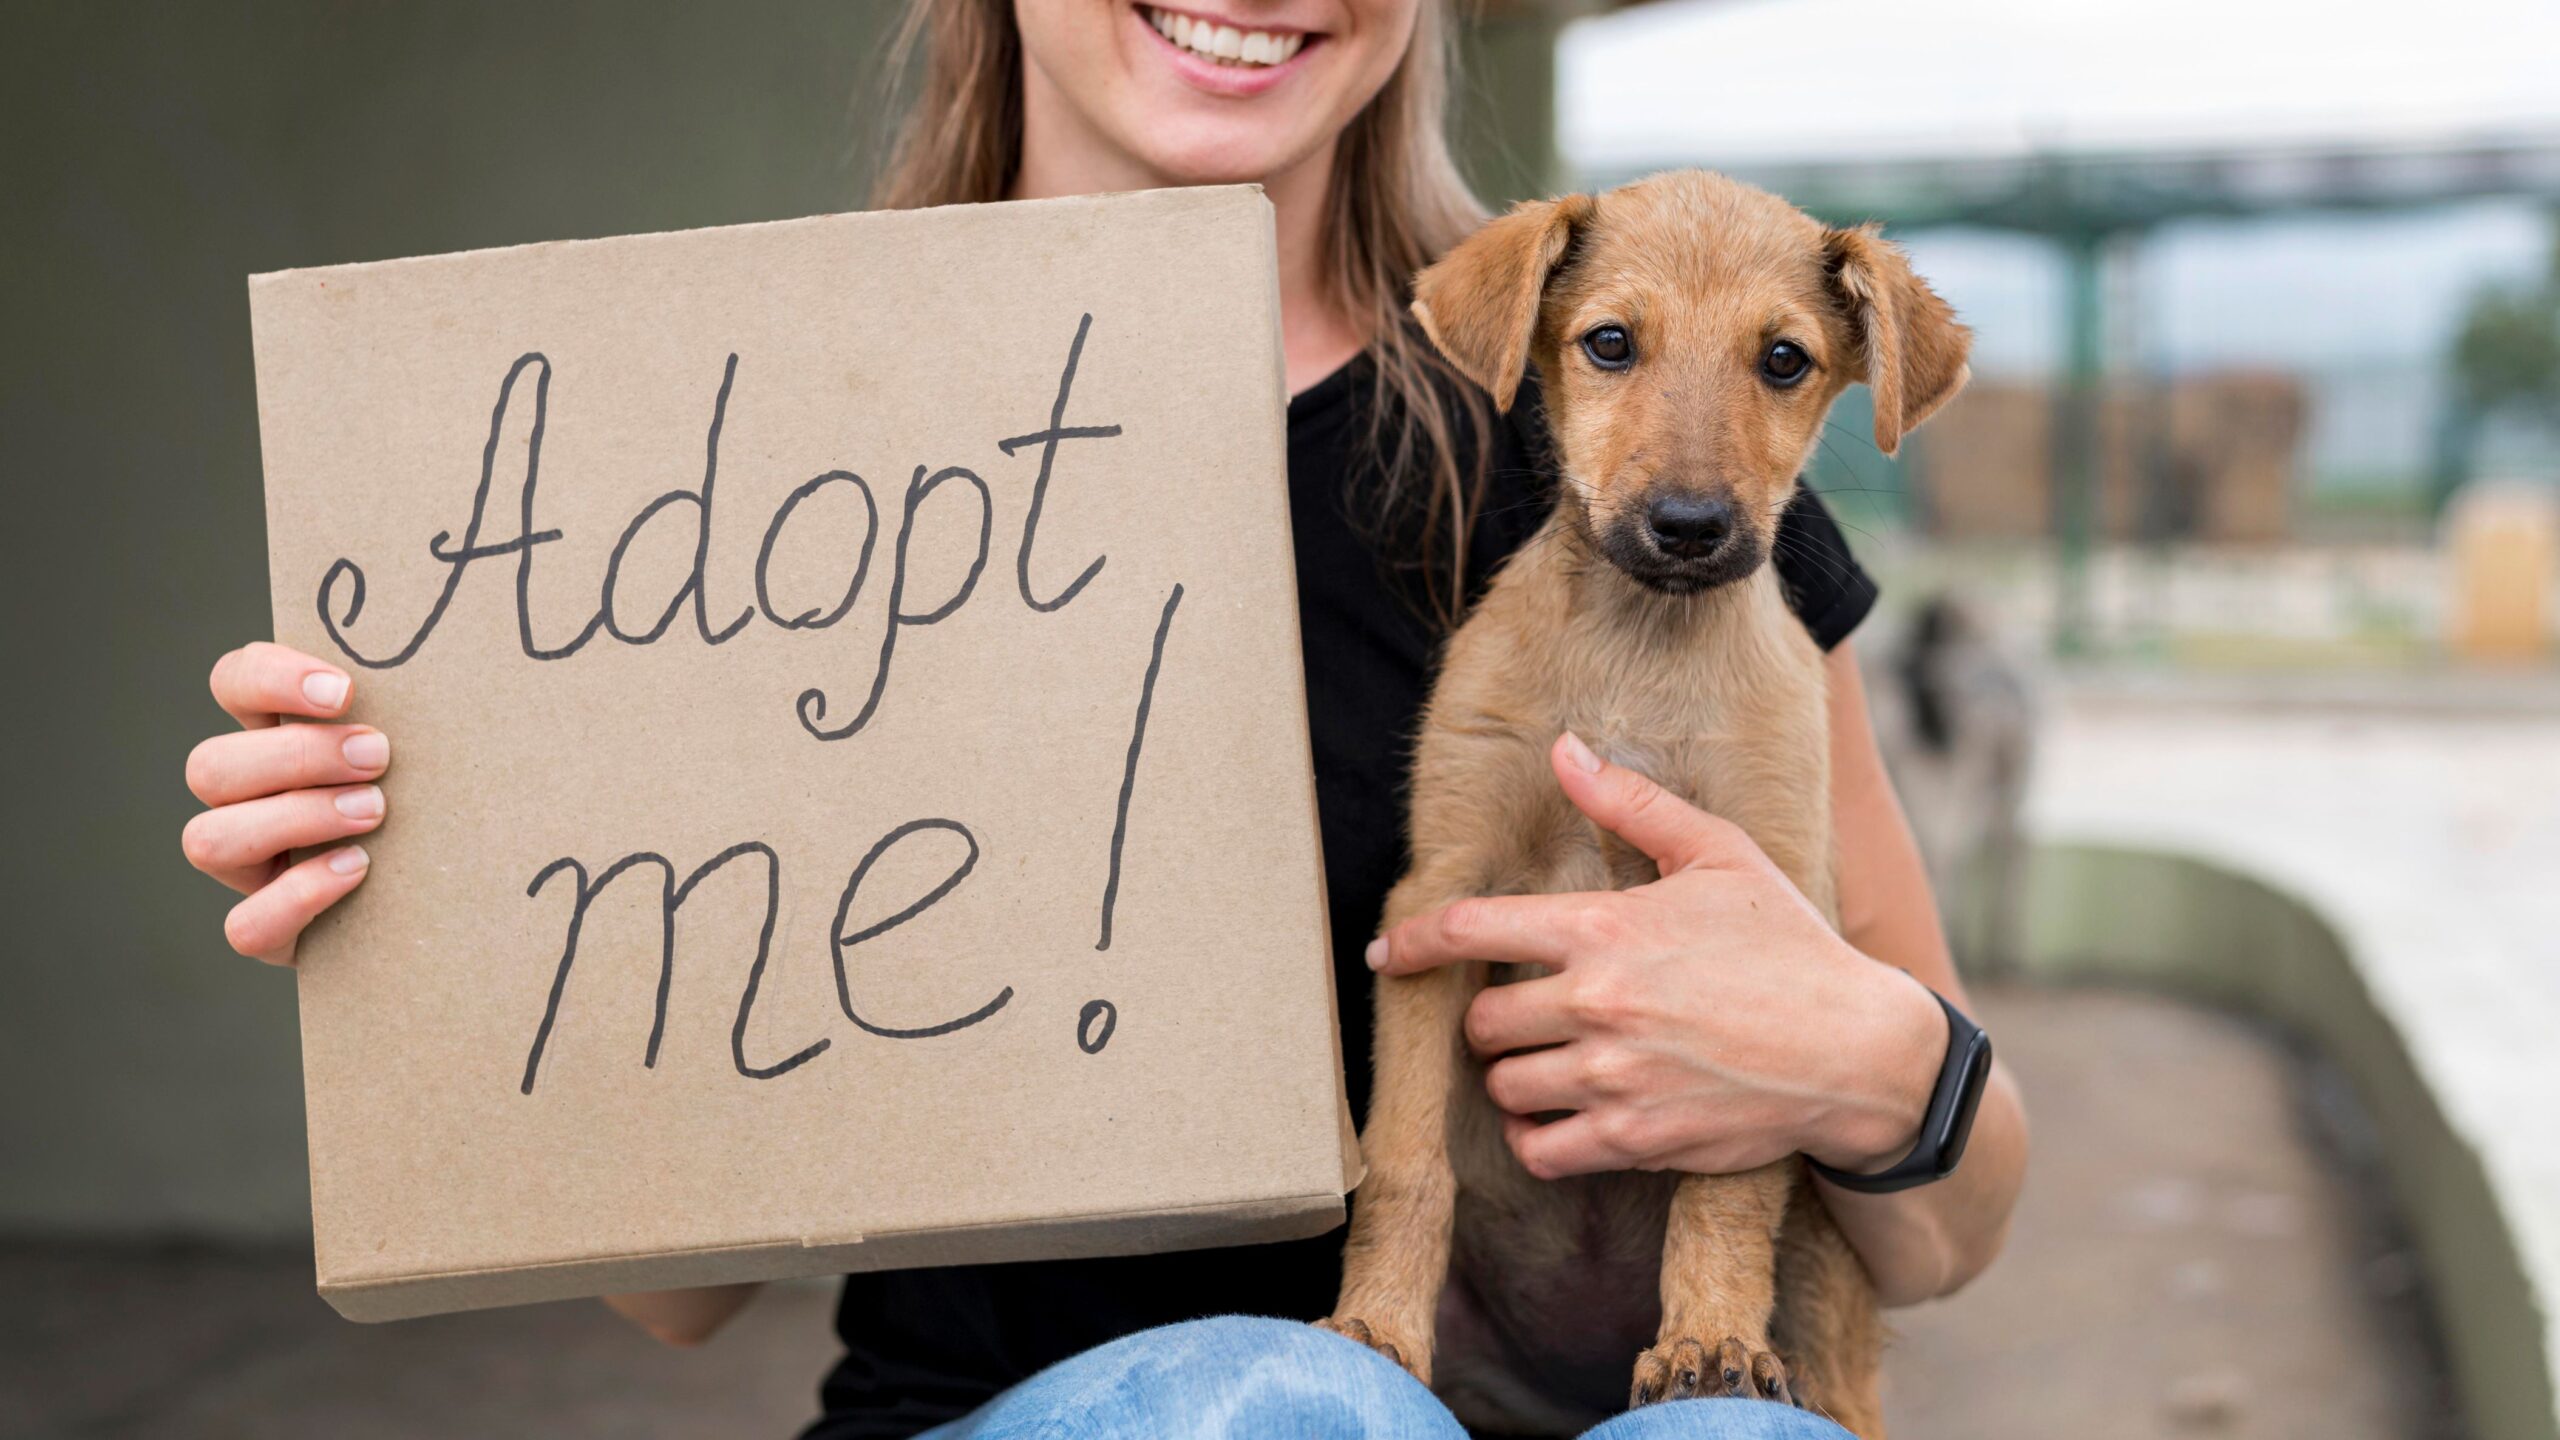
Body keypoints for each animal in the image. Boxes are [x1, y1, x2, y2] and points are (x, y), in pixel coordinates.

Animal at [1320, 170, 1955, 1434]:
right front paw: (1373, 1330)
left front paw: (1709, 1337)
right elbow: (1407, 1158)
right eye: (1609, 342)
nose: (1689, 526)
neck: (1638, 649)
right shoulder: (1438, 899)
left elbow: (1724, 1183)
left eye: (1782, 359)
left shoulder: (1752, 934)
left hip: (1828, 1280)